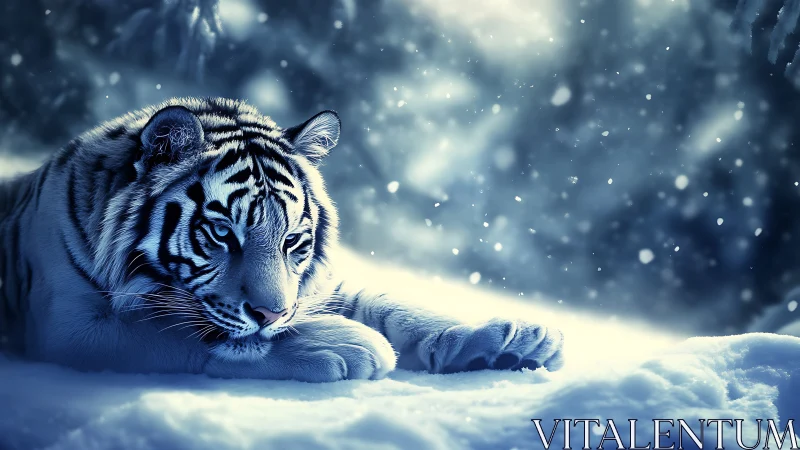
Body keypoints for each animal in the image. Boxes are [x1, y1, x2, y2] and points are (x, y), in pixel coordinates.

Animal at [0, 97, 564, 382]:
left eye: (294, 241)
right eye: (222, 233)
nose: (272, 314)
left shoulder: (312, 290)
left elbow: (393, 308)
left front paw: (508, 342)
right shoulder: (70, 325)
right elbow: (181, 330)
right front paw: (348, 345)